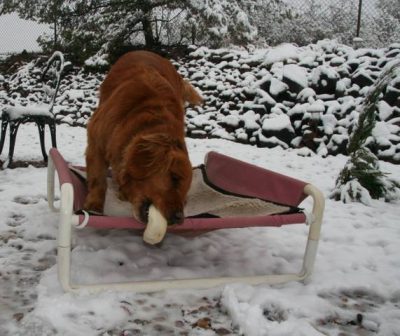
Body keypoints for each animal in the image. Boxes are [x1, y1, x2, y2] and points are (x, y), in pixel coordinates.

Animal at [85, 50, 203, 226]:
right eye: (174, 178)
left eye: (185, 195)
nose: (179, 219)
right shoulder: (95, 143)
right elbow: (98, 180)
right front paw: (94, 206)